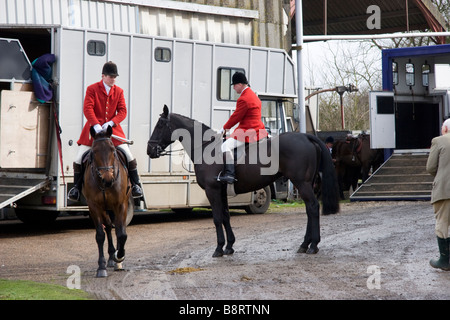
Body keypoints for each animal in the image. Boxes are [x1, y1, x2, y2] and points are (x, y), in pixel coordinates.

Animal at [83, 125, 131, 278]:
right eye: (94, 152)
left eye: (113, 151)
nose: (108, 180)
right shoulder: (94, 207)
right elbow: (100, 235)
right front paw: (101, 267)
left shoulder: (121, 205)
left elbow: (122, 234)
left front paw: (119, 257)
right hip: (104, 209)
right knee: (109, 226)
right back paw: (110, 257)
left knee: (117, 229)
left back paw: (116, 260)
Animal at [147, 105, 338, 258]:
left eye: (160, 125)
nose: (150, 150)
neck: (205, 147)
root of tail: (306, 137)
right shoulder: (222, 191)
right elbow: (225, 216)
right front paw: (229, 246)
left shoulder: (212, 190)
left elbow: (217, 218)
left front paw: (218, 249)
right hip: (306, 183)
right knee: (309, 209)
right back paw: (305, 244)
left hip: (302, 183)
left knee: (312, 207)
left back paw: (313, 245)